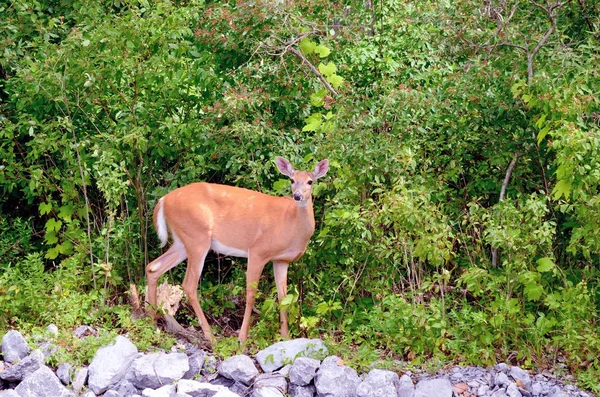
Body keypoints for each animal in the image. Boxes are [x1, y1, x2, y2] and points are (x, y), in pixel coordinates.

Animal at [147, 156, 330, 342]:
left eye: (310, 181)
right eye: (292, 180)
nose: (297, 196)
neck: (291, 224)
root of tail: (163, 200)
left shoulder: (281, 260)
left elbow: (283, 298)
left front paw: (285, 338)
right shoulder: (258, 251)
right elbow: (251, 294)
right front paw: (242, 339)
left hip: (182, 241)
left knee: (153, 267)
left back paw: (153, 322)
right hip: (197, 237)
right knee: (188, 284)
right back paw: (210, 336)